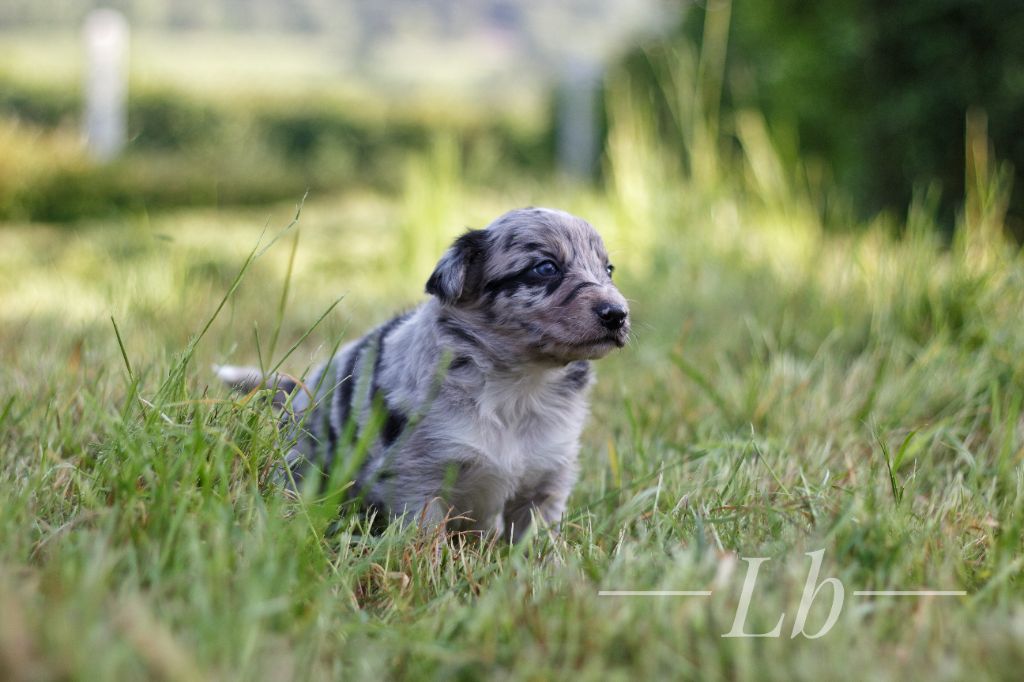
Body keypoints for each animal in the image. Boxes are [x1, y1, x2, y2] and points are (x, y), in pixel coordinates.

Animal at [220, 206, 626, 540]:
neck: (519, 386)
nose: (618, 314)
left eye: (608, 270)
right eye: (545, 268)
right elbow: (427, 537)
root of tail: (299, 391)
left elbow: (534, 543)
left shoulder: (546, 481)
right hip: (306, 465)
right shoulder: (419, 481)